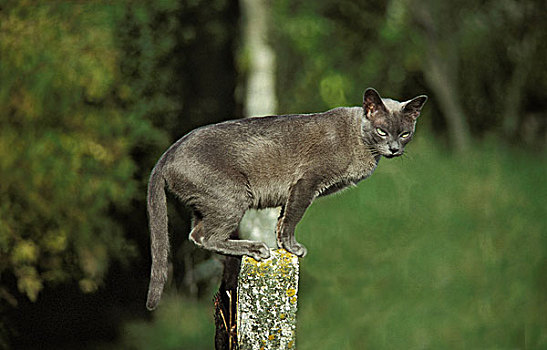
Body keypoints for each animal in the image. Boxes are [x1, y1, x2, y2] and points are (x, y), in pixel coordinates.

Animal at [146, 87, 428, 308]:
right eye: (382, 131)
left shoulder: (292, 192)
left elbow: (282, 219)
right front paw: (293, 248)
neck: (362, 145)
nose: (394, 148)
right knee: (208, 236)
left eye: (404, 133)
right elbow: (293, 218)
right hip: (232, 197)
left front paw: (283, 245)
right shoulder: (307, 183)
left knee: (196, 234)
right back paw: (256, 248)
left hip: (205, 204)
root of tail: (166, 155)